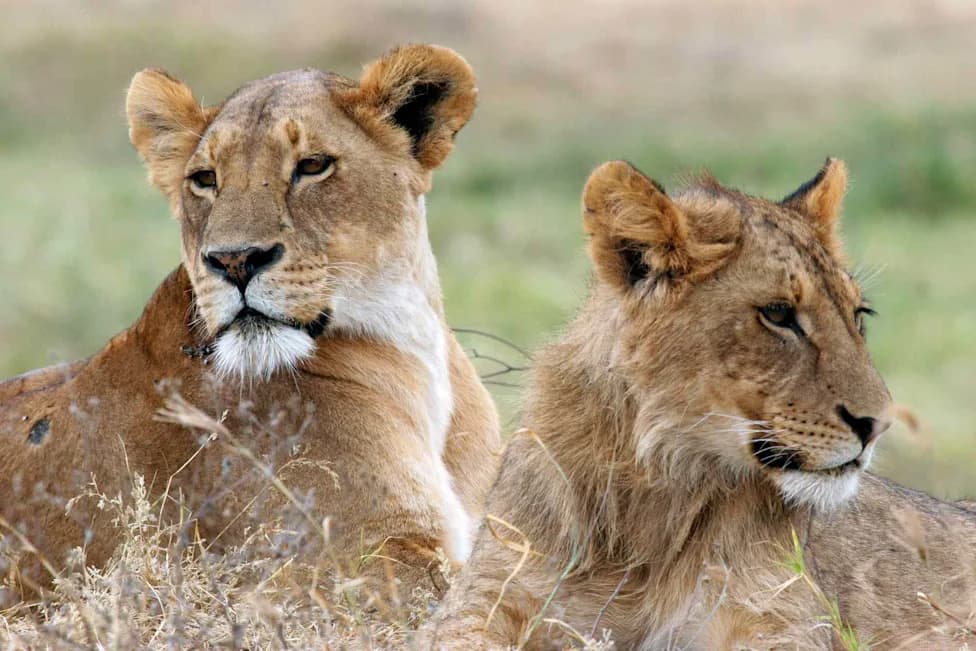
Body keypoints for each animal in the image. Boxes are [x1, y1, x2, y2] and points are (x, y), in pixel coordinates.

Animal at [426, 159, 976, 649]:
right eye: (779, 314)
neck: (654, 491)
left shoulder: (782, 622)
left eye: (857, 315)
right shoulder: (484, 600)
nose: (877, 424)